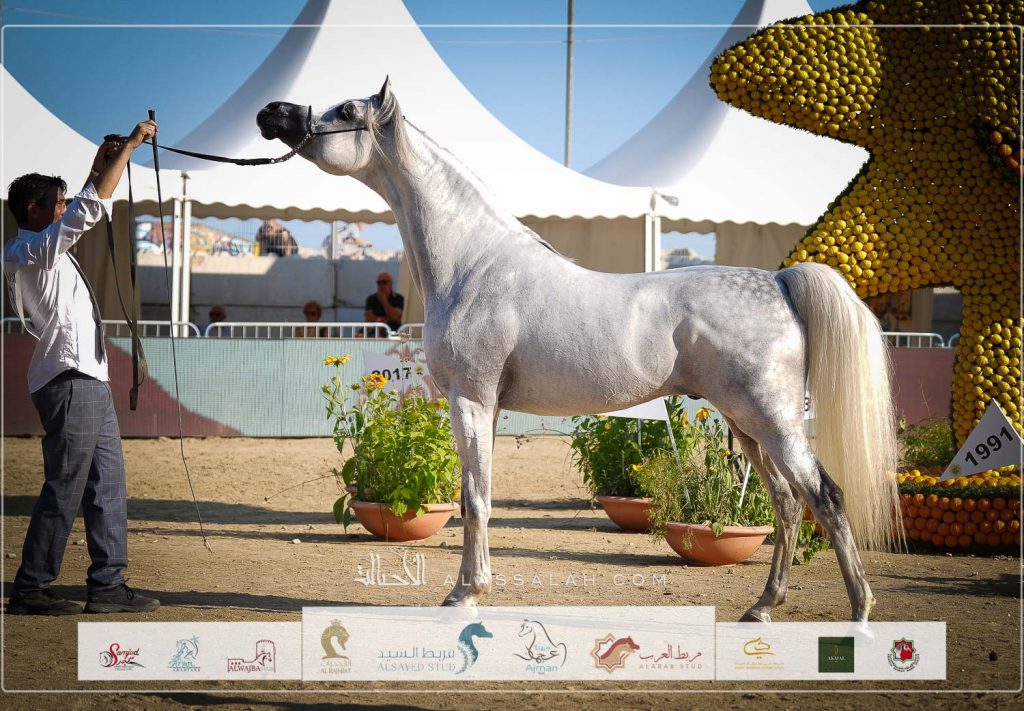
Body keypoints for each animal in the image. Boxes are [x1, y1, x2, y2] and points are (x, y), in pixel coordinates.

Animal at [256, 79, 901, 623]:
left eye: (346, 110)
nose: (272, 113)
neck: (474, 263)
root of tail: (780, 282)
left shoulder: (470, 400)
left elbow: (473, 499)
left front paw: (464, 595)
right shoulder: (488, 408)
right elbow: (478, 497)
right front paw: (474, 586)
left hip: (774, 419)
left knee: (825, 498)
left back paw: (861, 611)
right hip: (747, 425)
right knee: (789, 506)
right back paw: (762, 608)